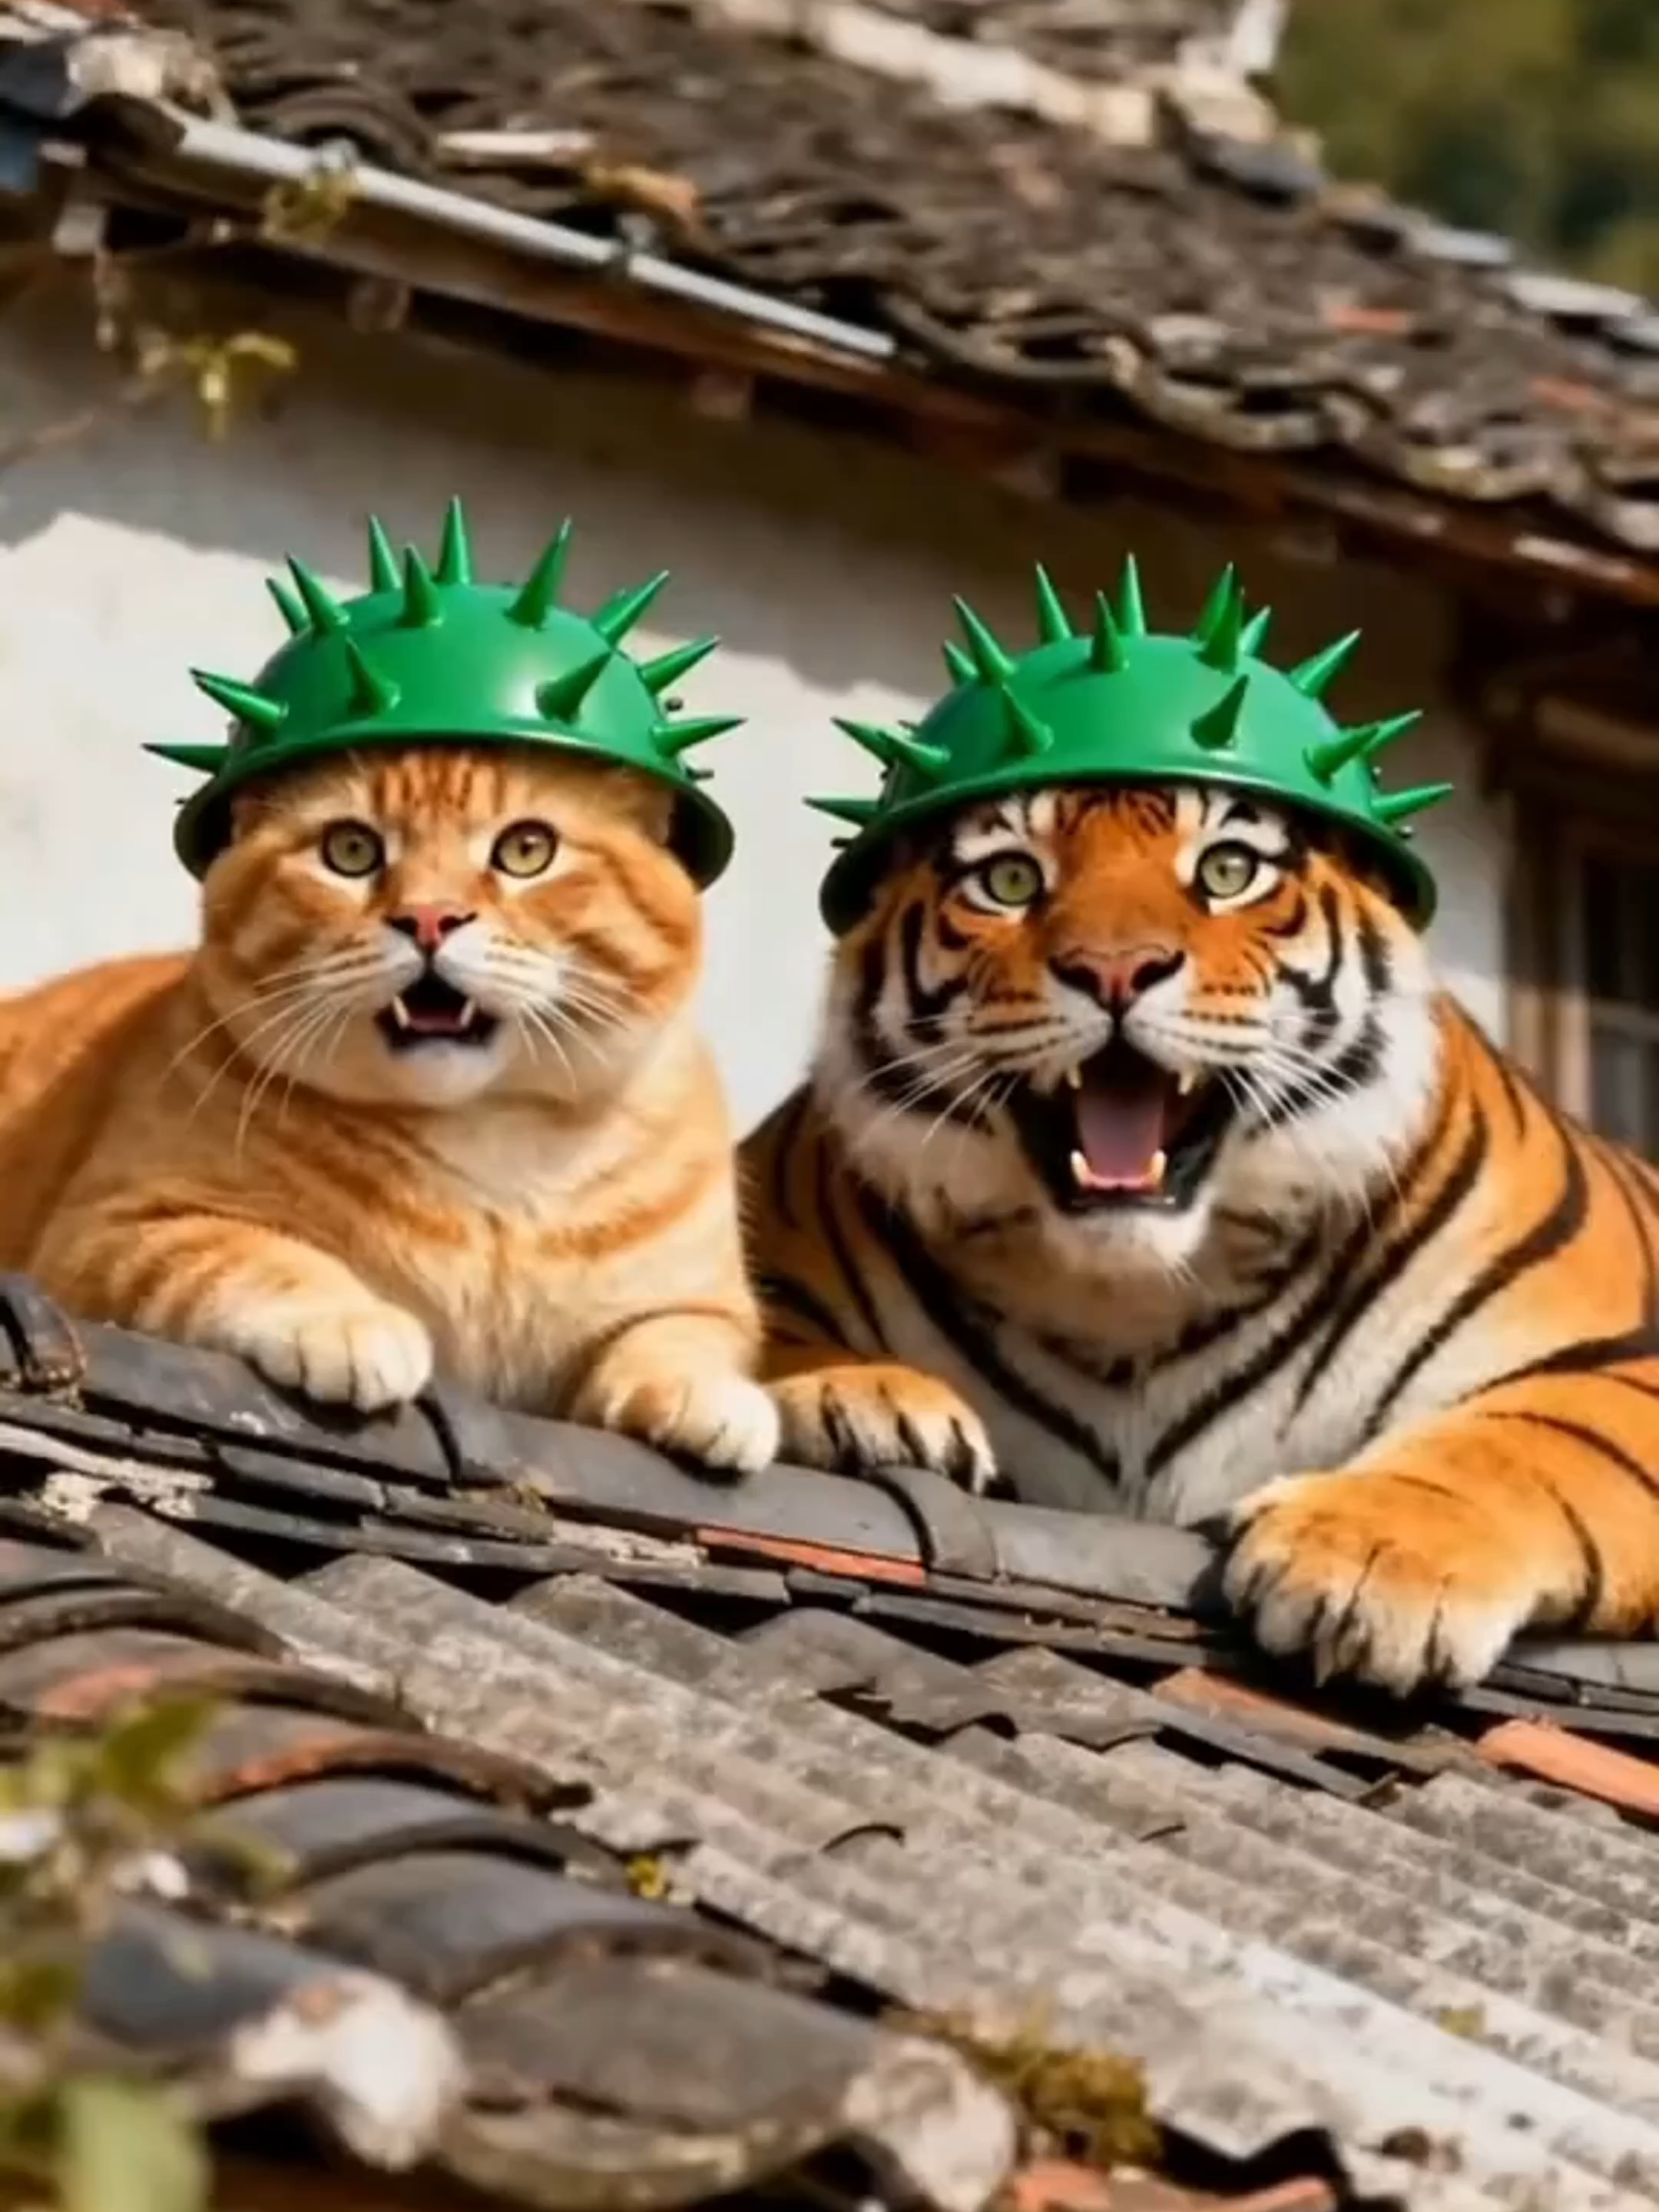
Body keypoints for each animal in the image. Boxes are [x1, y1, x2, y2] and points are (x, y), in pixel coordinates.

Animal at [742, 777, 1659, 1694]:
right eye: (1009, 880)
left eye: (1228, 870)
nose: (1114, 970)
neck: (1131, 1297)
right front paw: (863, 1396)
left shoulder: (1621, 1364)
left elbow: (1524, 1441)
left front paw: (1362, 1560)